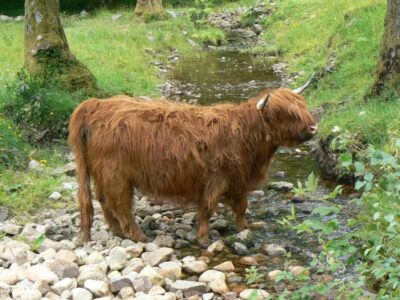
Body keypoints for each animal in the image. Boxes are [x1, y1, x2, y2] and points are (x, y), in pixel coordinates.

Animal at [69, 79, 318, 246]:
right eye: (286, 114)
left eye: (303, 107)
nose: (313, 128)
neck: (246, 135)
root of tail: (96, 105)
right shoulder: (217, 178)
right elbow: (208, 208)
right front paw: (203, 238)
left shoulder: (239, 179)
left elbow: (241, 207)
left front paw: (245, 228)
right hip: (116, 174)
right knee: (119, 204)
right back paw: (139, 235)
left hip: (103, 173)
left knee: (103, 200)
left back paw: (117, 231)